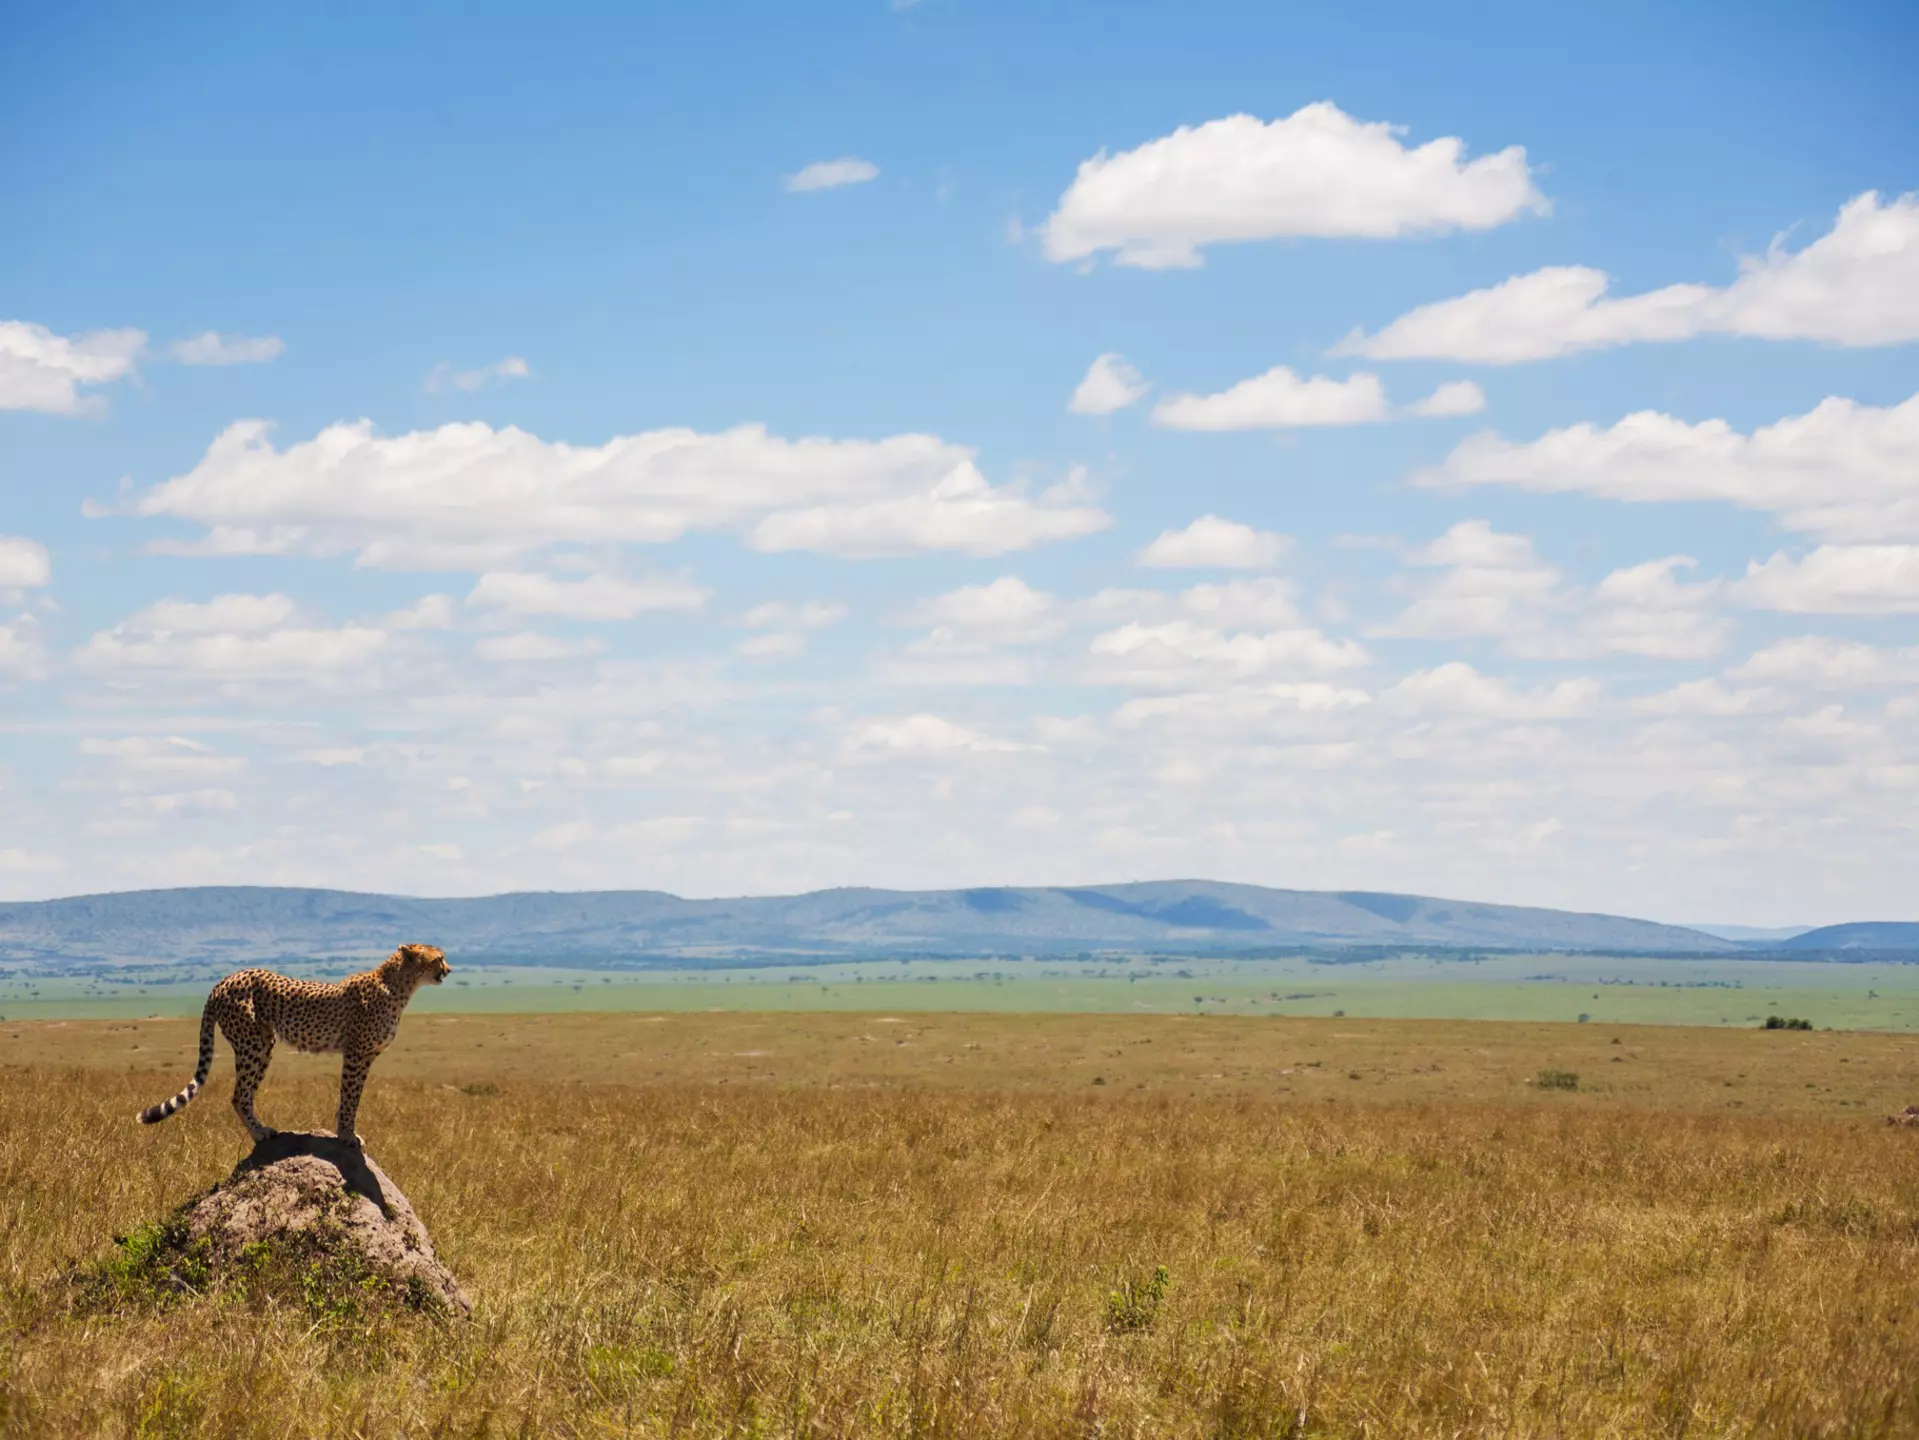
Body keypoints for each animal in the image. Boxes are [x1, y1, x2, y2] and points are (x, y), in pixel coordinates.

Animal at [137, 943, 450, 1147]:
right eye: (439, 958)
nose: (449, 969)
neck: (400, 985)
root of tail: (225, 980)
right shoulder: (356, 1053)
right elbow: (350, 1096)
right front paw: (347, 1135)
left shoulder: (366, 1056)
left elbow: (350, 1096)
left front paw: (342, 1129)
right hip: (253, 1043)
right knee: (239, 1096)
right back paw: (260, 1133)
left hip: (263, 1045)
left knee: (244, 1094)